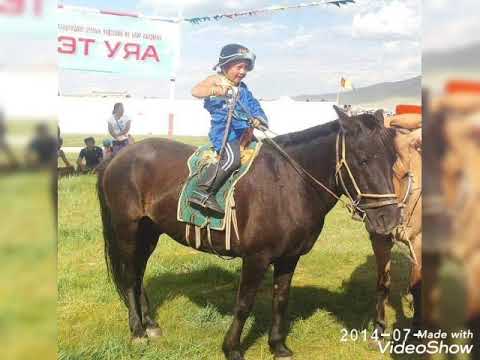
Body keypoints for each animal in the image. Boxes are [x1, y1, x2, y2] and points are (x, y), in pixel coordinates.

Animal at [95, 107, 400, 360]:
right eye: (362, 160)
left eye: (394, 159)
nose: (389, 218)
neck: (291, 184)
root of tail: (120, 156)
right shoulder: (256, 258)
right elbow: (244, 303)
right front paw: (232, 348)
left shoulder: (289, 258)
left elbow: (280, 299)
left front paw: (278, 346)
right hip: (127, 230)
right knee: (130, 276)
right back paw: (137, 331)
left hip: (149, 231)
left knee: (138, 274)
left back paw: (150, 324)